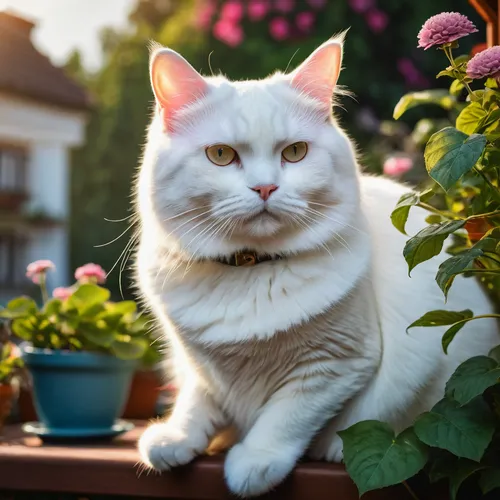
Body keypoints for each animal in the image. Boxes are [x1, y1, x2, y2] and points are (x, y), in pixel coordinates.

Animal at [135, 37, 498, 498]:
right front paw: (177, 439)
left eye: (295, 153)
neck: (251, 269)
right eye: (220, 155)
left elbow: (286, 418)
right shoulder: (198, 365)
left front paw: (255, 462)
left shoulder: (334, 366)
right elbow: (198, 400)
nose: (265, 187)